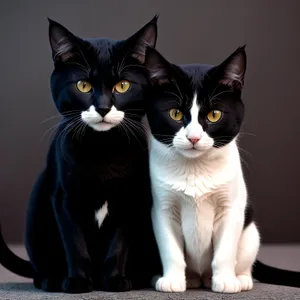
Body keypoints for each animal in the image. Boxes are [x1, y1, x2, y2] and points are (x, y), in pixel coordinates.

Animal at [0, 15, 161, 292]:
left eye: (123, 85)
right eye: (83, 85)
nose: (104, 107)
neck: (103, 150)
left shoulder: (129, 198)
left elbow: (119, 244)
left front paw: (115, 280)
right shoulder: (64, 198)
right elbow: (75, 245)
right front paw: (77, 282)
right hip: (39, 197)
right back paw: (51, 279)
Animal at [144, 47, 300, 292]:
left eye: (214, 115)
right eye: (175, 114)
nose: (194, 138)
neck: (196, 168)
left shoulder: (231, 208)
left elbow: (225, 251)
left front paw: (225, 281)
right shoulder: (163, 209)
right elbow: (171, 250)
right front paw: (172, 280)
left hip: (251, 233)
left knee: (244, 259)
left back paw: (238, 279)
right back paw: (188, 279)